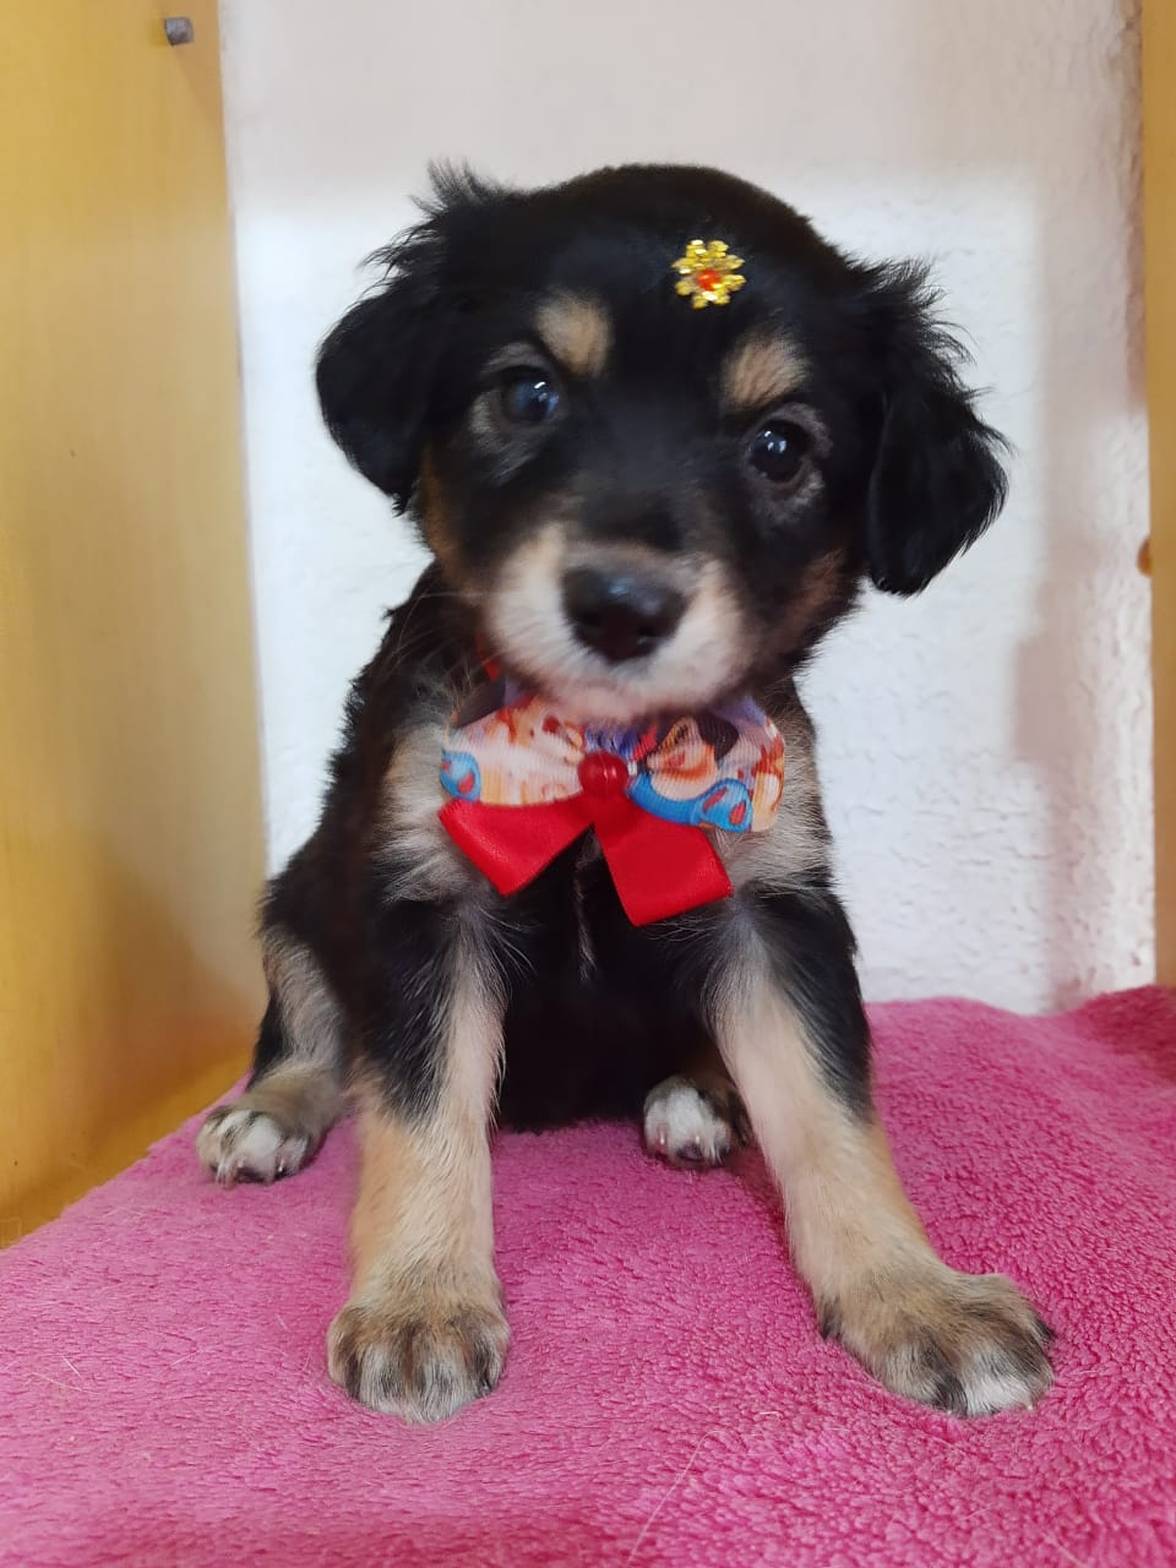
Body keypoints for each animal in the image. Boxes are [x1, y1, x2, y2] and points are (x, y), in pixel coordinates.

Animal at [198, 164, 1053, 1423]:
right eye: (530, 392)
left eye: (781, 446)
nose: (618, 605)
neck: (598, 747)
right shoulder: (423, 899)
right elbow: (420, 1112)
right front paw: (419, 1303)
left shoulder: (774, 906)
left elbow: (835, 1113)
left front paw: (918, 1295)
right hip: (300, 894)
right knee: (313, 1037)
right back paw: (268, 1113)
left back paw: (699, 1092)